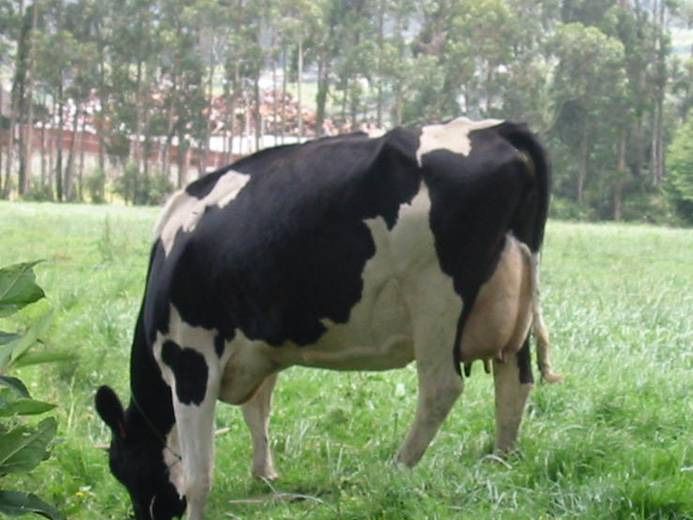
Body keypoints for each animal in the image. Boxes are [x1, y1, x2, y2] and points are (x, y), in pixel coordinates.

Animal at [95, 117, 560, 520]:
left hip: (436, 301)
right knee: (514, 381)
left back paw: (397, 468)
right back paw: (500, 462)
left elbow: (198, 473)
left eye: (122, 467)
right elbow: (257, 411)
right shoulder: (258, 346)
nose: (144, 516)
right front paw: (265, 474)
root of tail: (493, 128)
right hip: (513, 300)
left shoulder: (191, 358)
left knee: (441, 388)